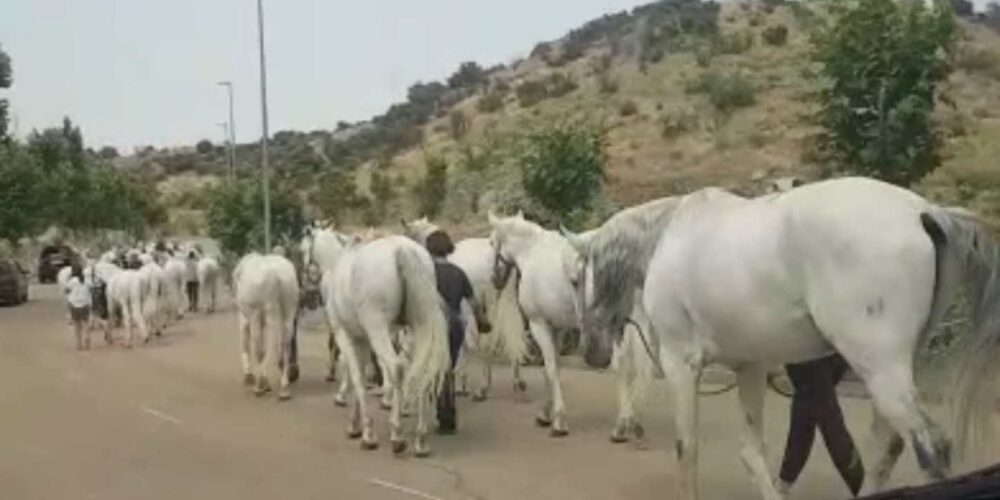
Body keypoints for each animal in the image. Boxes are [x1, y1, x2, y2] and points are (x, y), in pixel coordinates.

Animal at [232, 252, 298, 400]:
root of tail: (277, 275)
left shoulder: (247, 316)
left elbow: (247, 343)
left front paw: (251, 377)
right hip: (288, 308)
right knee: (285, 344)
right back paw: (284, 388)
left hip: (261, 312)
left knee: (262, 348)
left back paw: (259, 386)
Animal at [324, 236, 450, 456]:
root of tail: (403, 249)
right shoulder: (362, 339)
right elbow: (360, 375)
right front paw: (355, 425)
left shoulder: (345, 335)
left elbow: (357, 377)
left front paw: (366, 433)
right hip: (416, 328)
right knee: (421, 369)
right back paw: (420, 440)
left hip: (378, 329)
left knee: (396, 367)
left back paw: (397, 435)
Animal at [400, 215, 532, 398]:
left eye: (407, 237)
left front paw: (459, 381)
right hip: (506, 302)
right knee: (515, 335)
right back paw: (517, 380)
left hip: (490, 303)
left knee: (488, 340)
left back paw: (483, 386)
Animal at [568, 177, 1000, 500]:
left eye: (574, 278)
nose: (590, 351)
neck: (667, 239)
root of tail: (924, 212)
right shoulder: (750, 367)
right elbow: (751, 451)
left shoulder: (680, 365)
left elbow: (685, 448)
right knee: (886, 447)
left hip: (878, 366)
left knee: (928, 447)